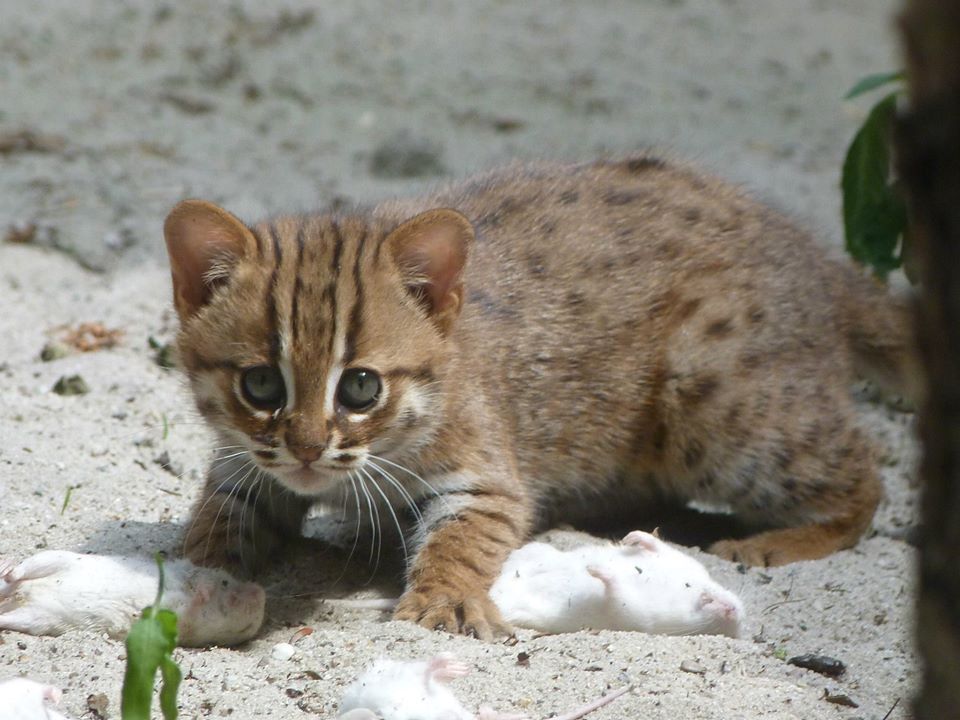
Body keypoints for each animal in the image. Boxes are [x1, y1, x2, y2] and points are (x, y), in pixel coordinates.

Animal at [163, 156, 916, 636]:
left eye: (361, 386)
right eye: (260, 383)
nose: (308, 451)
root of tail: (817, 260)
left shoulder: (487, 476)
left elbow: (461, 540)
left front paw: (444, 599)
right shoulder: (243, 462)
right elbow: (219, 514)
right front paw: (198, 570)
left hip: (718, 407)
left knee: (865, 475)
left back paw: (781, 539)